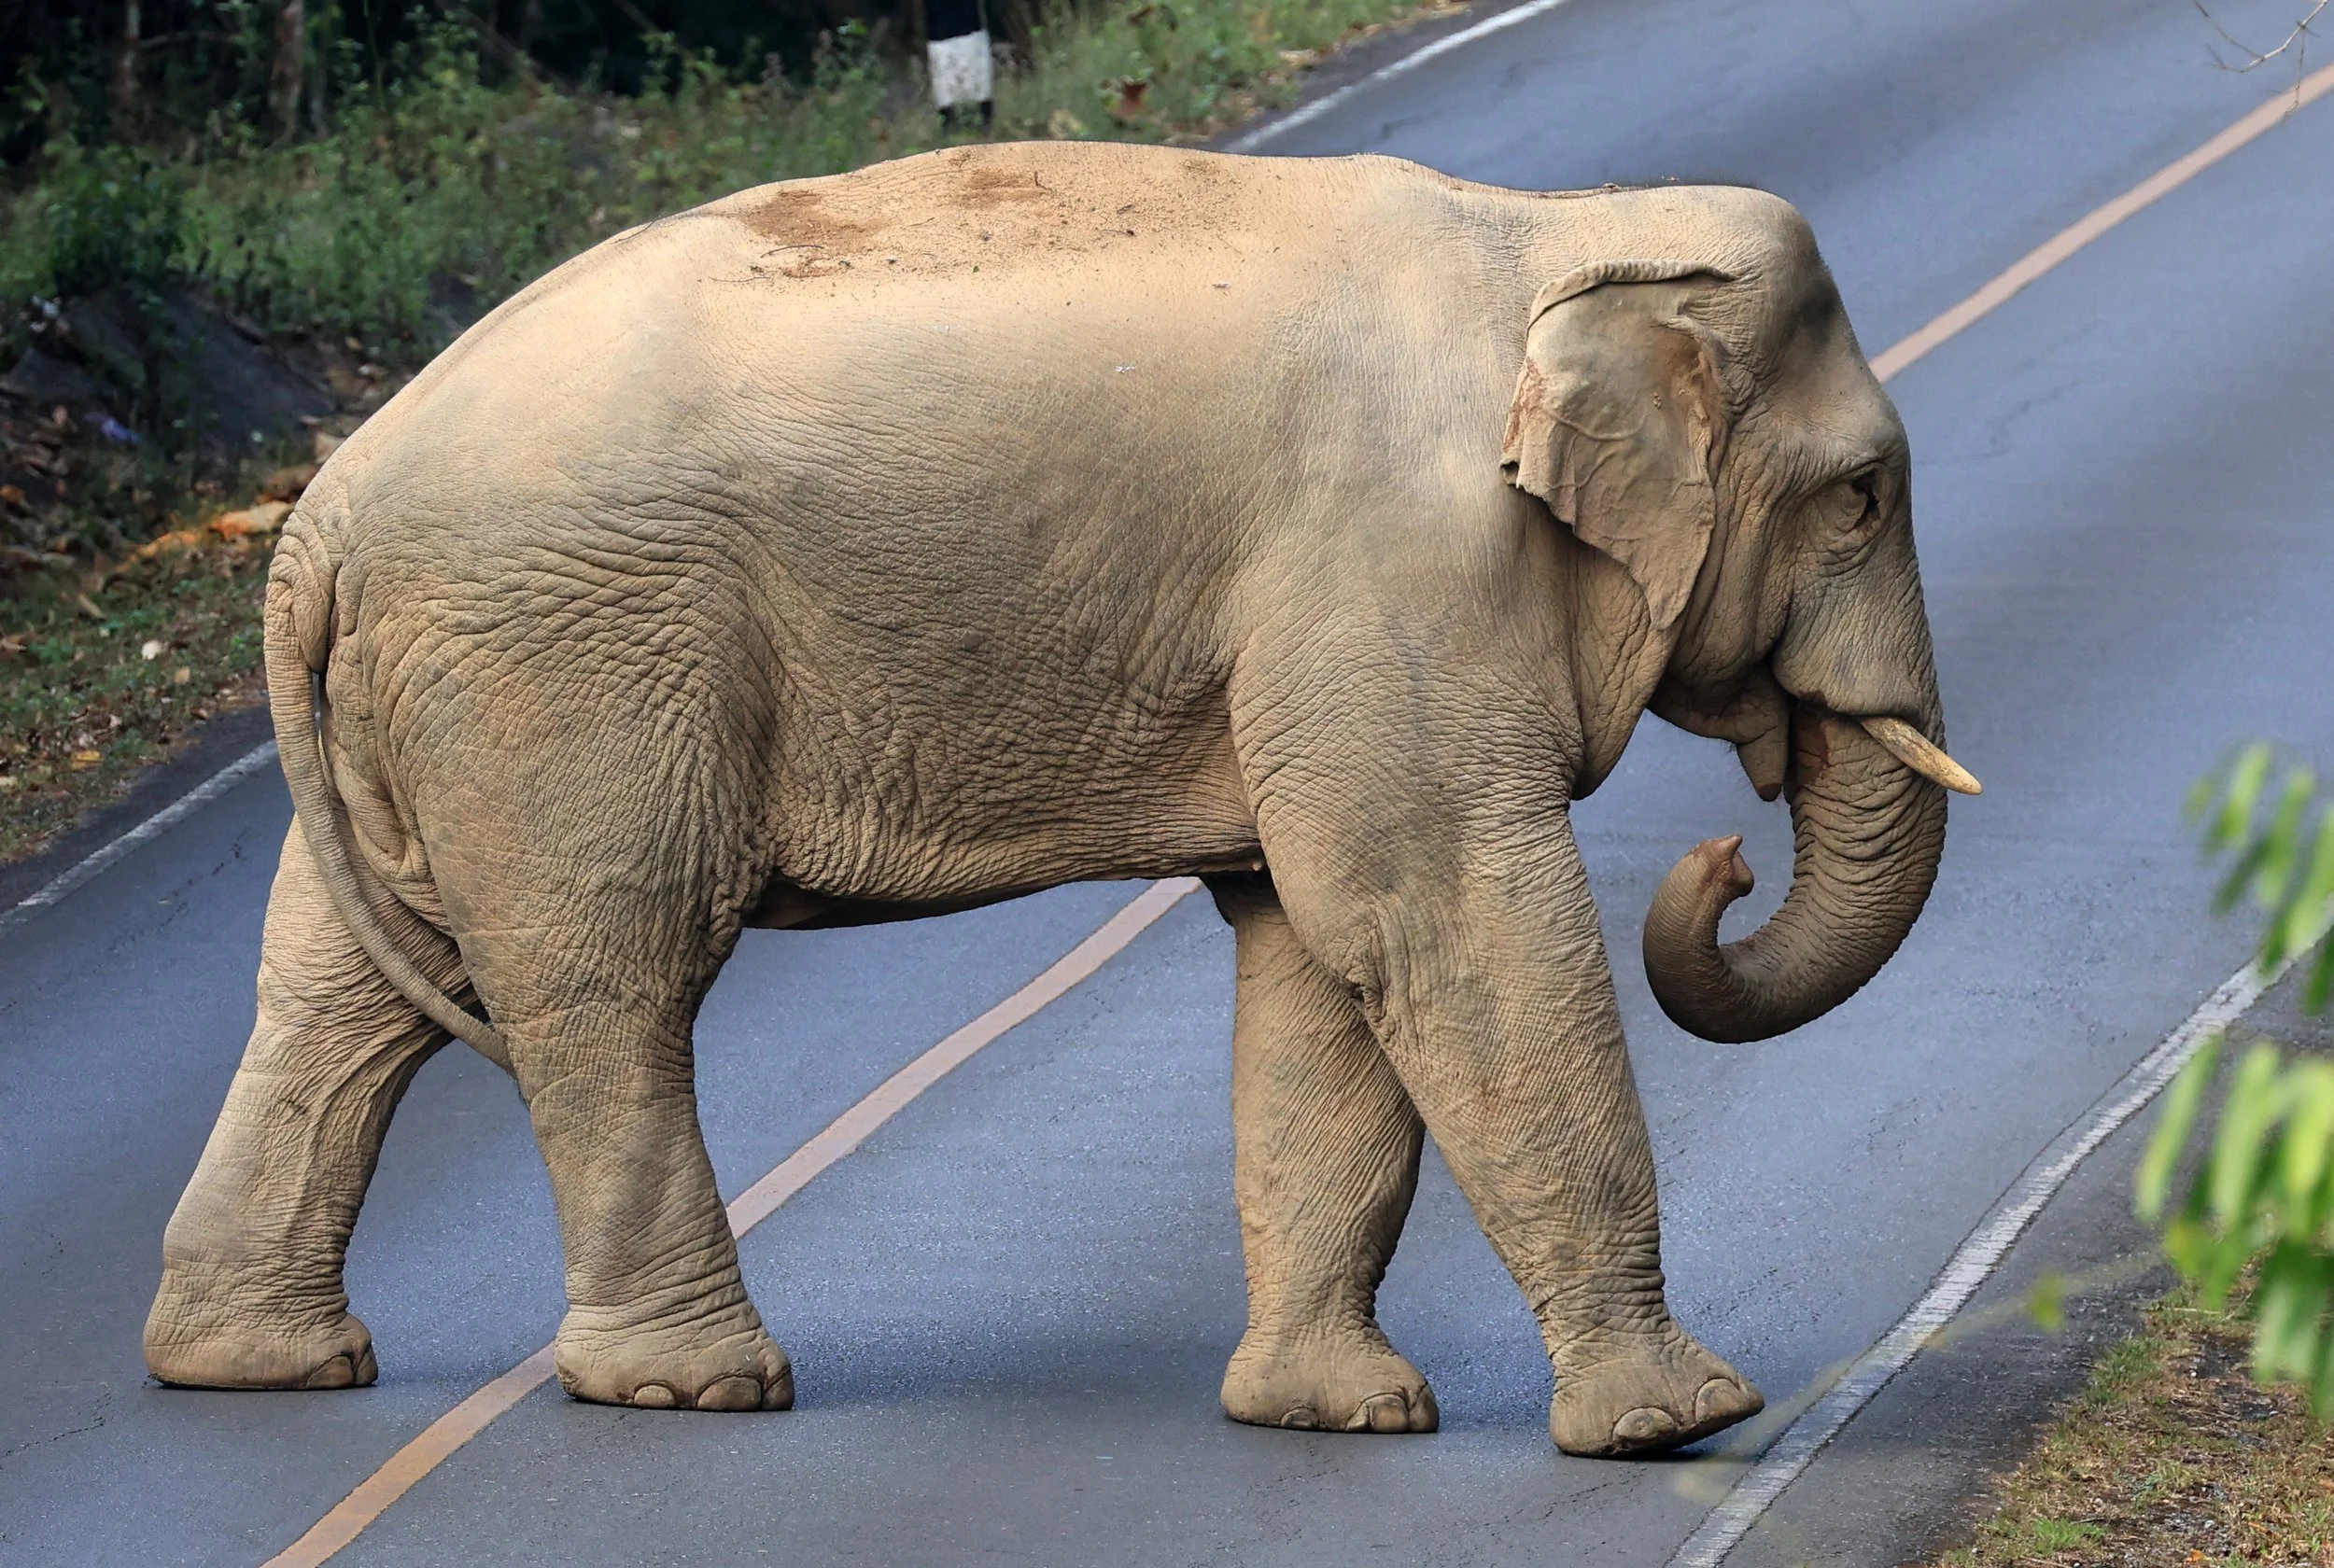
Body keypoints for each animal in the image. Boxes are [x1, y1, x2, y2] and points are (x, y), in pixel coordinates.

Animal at [144, 140, 1978, 1459]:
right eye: (1863, 495)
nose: (1726, 853)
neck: (1555, 231)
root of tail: (319, 516)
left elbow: (1312, 952)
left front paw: (1332, 1416)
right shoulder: (1389, 570)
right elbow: (1436, 916)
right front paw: (1682, 1424)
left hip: (436, 700)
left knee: (335, 990)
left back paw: (251, 1361)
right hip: (571, 671)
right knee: (610, 977)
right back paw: (692, 1388)